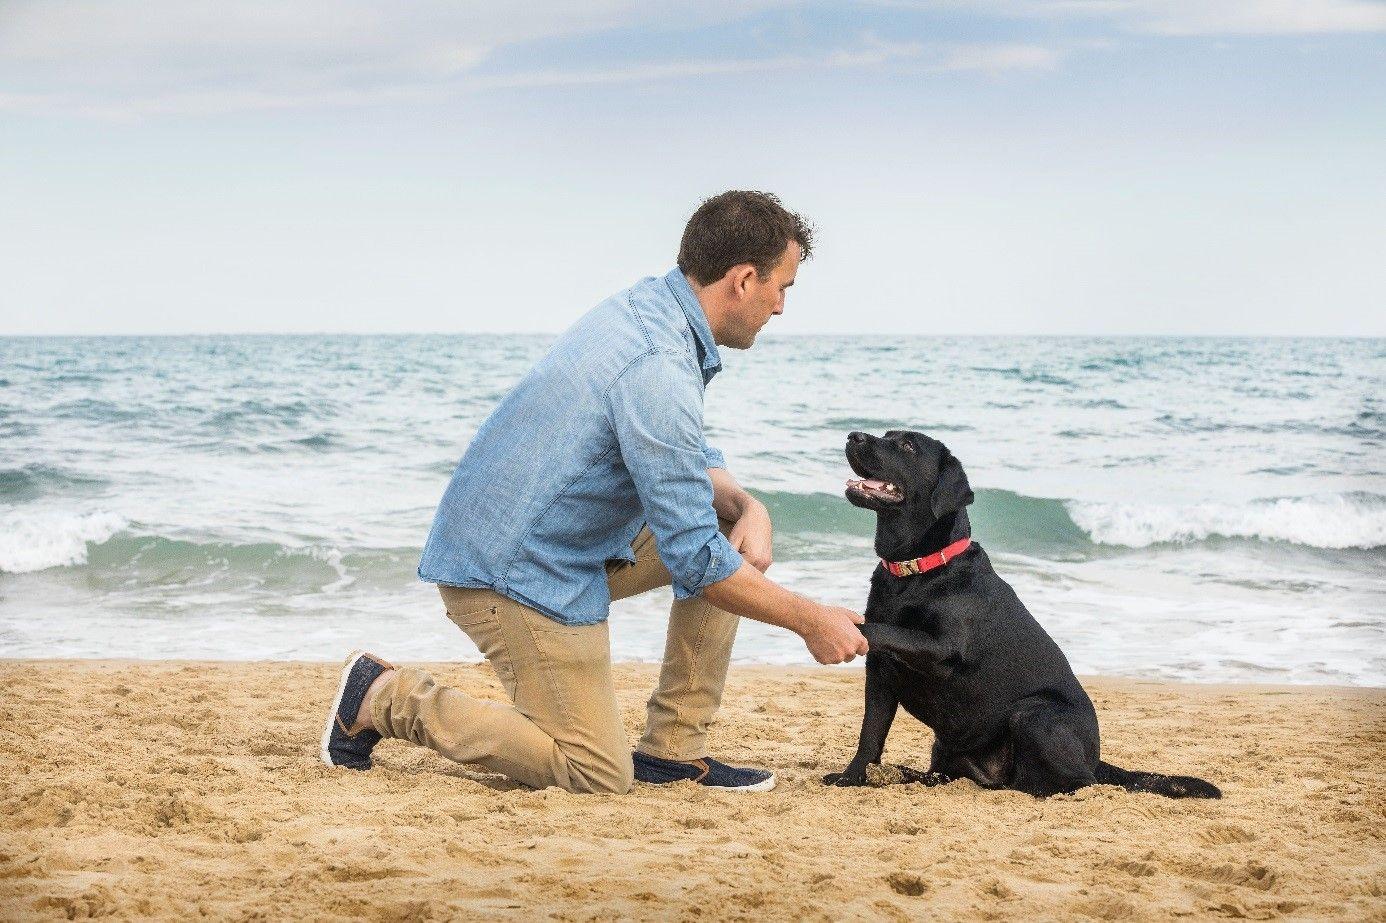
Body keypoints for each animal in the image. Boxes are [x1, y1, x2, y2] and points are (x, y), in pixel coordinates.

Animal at [826, 426, 1219, 792]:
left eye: (907, 445)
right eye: (887, 434)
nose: (852, 435)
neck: (915, 571)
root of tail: (1095, 759)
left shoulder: (943, 649)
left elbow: (881, 629)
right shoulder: (880, 674)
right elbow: (870, 734)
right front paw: (852, 777)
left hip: (1032, 714)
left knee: (1071, 782)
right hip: (950, 746)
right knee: (955, 775)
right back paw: (910, 775)